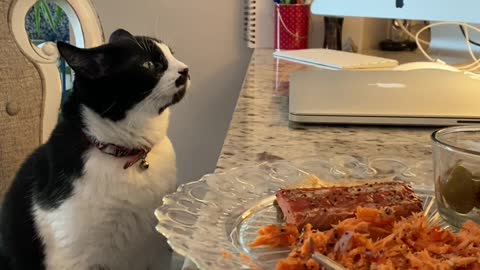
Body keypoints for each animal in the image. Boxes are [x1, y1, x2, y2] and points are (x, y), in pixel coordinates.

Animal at [0, 29, 190, 270]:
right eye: (149, 64)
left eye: (172, 54)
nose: (186, 69)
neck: (127, 153)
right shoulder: (72, 257)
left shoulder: (156, 251)